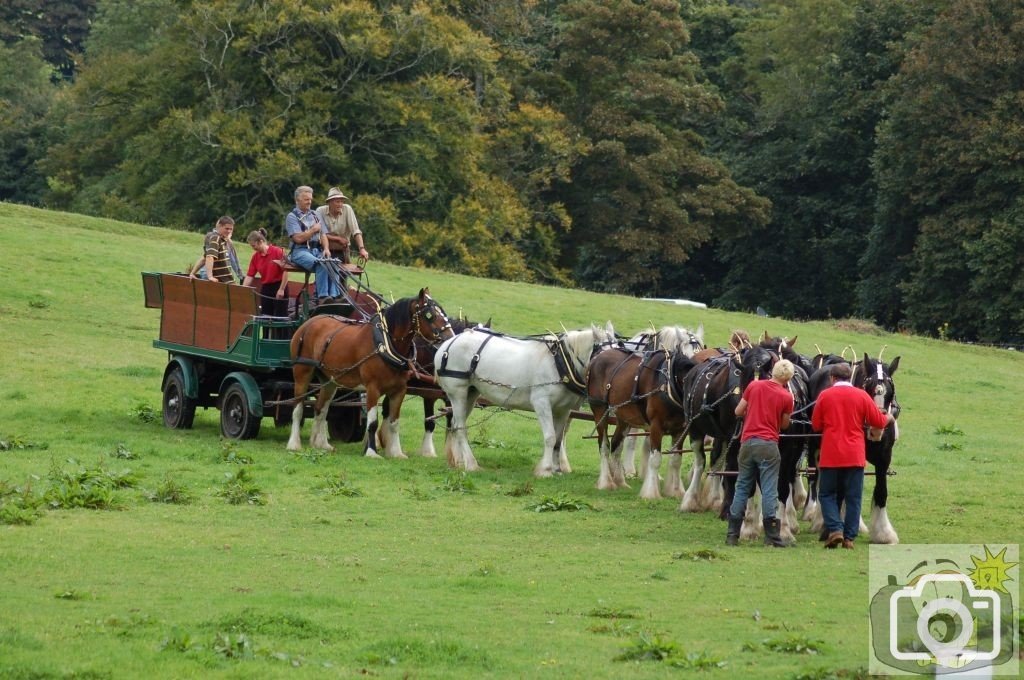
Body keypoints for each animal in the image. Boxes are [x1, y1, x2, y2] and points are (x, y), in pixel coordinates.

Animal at [286, 288, 450, 458]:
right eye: (430, 315)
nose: (449, 336)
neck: (385, 345)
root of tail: (309, 322)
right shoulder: (373, 388)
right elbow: (372, 423)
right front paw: (371, 451)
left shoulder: (400, 390)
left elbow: (394, 422)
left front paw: (396, 452)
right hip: (302, 373)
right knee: (298, 408)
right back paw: (294, 444)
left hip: (329, 380)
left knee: (321, 409)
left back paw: (321, 444)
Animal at [434, 323, 610, 477]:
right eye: (602, 358)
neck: (560, 362)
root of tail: (448, 343)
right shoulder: (542, 403)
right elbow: (550, 437)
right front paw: (545, 470)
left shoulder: (563, 410)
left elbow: (558, 440)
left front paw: (557, 469)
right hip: (457, 392)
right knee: (460, 428)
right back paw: (471, 464)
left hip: (471, 393)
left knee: (455, 425)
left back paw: (459, 462)